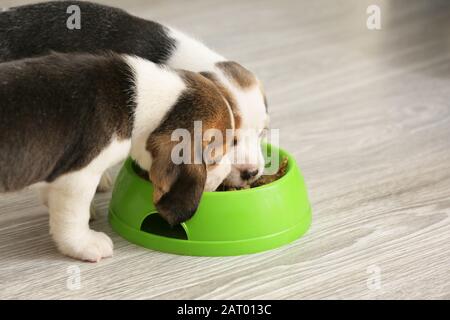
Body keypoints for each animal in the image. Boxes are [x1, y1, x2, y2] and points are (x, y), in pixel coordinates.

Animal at [0, 52, 236, 262]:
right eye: (214, 158)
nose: (226, 176)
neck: (138, 100)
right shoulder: (80, 178)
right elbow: (74, 215)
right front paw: (84, 244)